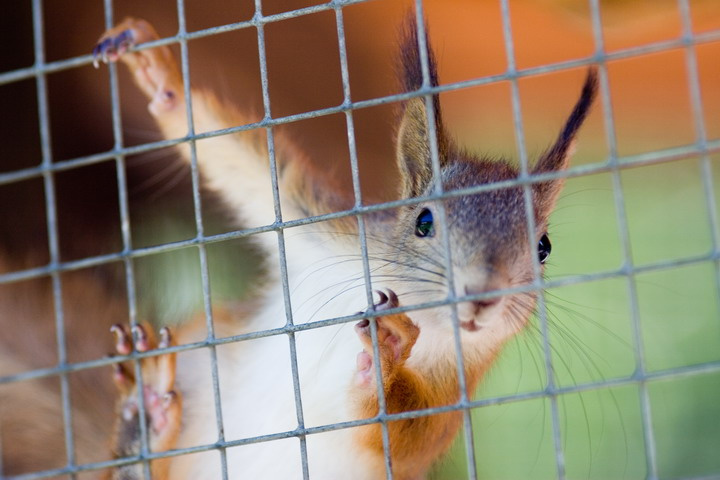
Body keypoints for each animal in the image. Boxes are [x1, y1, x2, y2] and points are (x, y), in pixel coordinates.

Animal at [89, 14, 598, 480]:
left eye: (543, 247)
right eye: (424, 222)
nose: (481, 296)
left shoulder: (452, 393)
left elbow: (408, 434)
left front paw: (387, 358)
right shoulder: (328, 234)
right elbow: (255, 174)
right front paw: (160, 78)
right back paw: (146, 418)